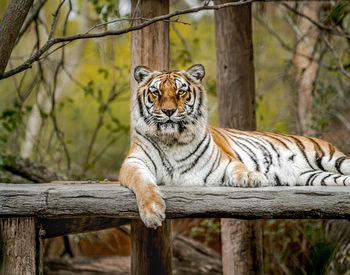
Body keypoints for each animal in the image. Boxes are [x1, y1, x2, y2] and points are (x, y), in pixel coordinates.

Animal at [119, 64, 348, 229]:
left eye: (181, 92)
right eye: (156, 93)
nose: (168, 111)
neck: (173, 140)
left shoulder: (225, 162)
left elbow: (239, 168)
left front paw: (253, 177)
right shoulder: (133, 163)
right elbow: (142, 182)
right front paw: (152, 212)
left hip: (333, 159)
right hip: (314, 176)